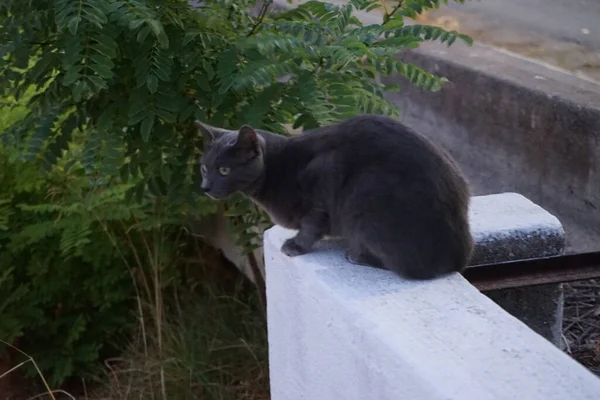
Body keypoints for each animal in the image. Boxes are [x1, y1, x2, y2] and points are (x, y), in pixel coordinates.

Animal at [197, 114, 474, 280]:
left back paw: (358, 254)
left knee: (413, 268)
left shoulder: (321, 185)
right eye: (204, 168)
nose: (205, 187)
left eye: (224, 170)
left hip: (366, 194)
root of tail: (460, 252)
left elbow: (311, 226)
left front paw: (296, 245)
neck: (276, 168)